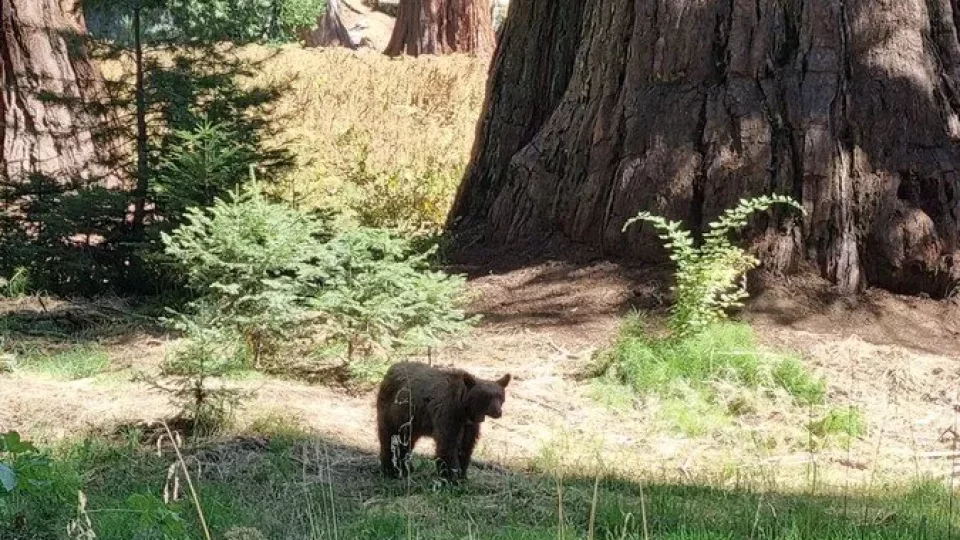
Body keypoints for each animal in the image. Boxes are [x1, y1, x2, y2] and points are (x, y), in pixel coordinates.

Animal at [376, 362, 510, 480]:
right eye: (486, 396)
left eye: (500, 396)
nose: (498, 412)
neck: (464, 409)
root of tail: (390, 370)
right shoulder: (448, 413)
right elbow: (448, 445)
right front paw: (451, 476)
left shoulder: (469, 425)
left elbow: (466, 446)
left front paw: (463, 475)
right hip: (394, 413)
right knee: (389, 438)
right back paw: (390, 469)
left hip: (412, 422)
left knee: (406, 442)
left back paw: (405, 467)